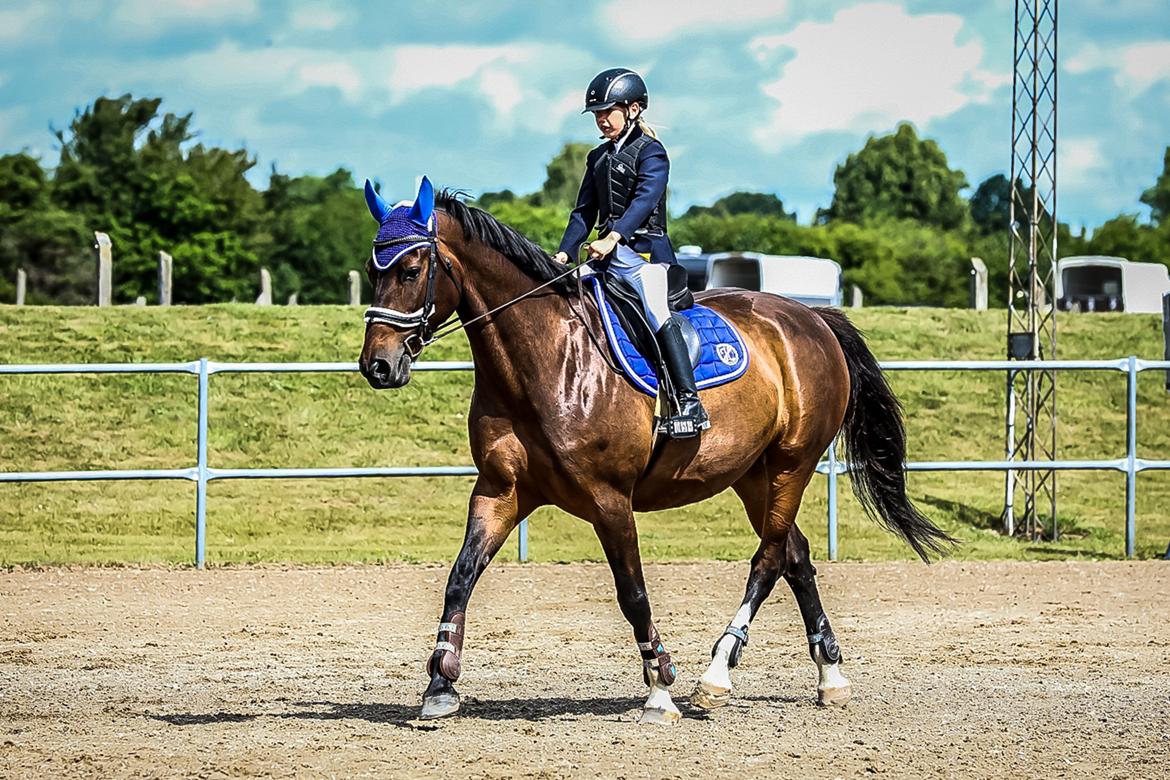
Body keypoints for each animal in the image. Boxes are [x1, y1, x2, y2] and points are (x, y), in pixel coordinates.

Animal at [355, 178, 950, 725]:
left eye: (411, 271)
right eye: (372, 267)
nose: (377, 366)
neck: (546, 360)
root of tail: (811, 318)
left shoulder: (609, 499)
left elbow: (632, 592)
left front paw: (660, 686)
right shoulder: (501, 491)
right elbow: (460, 577)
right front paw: (439, 685)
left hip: (791, 465)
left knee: (769, 558)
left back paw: (716, 676)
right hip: (752, 475)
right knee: (796, 555)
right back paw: (830, 676)